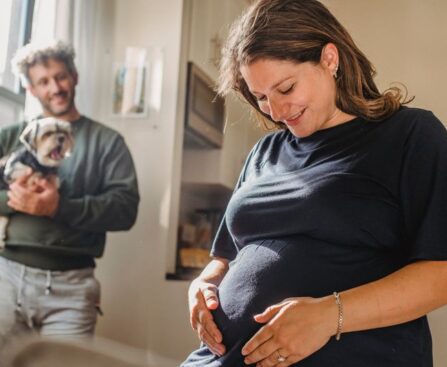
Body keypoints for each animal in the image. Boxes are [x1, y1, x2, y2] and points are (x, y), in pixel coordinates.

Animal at [0, 118, 74, 250]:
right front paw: (34, 178)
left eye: (65, 132)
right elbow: (28, 173)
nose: (62, 138)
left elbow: (54, 180)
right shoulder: (11, 171)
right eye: (48, 134)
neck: (40, 163)